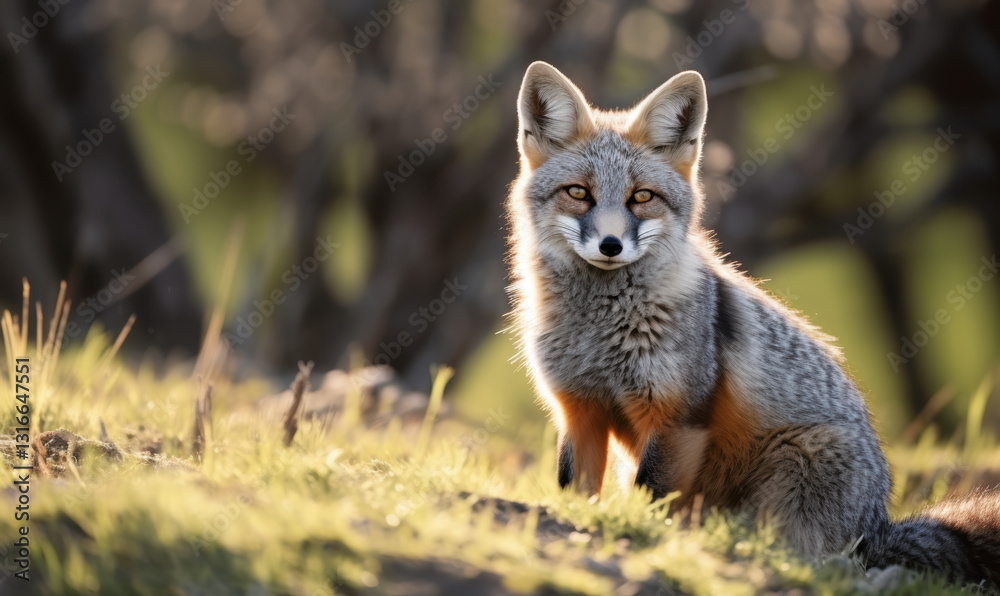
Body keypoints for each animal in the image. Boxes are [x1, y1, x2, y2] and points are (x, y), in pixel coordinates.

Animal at [505, 61, 1000, 585]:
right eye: (579, 193)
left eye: (641, 197)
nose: (611, 245)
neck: (599, 333)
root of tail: (879, 525)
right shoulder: (579, 410)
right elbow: (574, 492)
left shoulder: (677, 415)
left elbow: (652, 500)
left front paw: (647, 536)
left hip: (793, 468)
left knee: (809, 555)